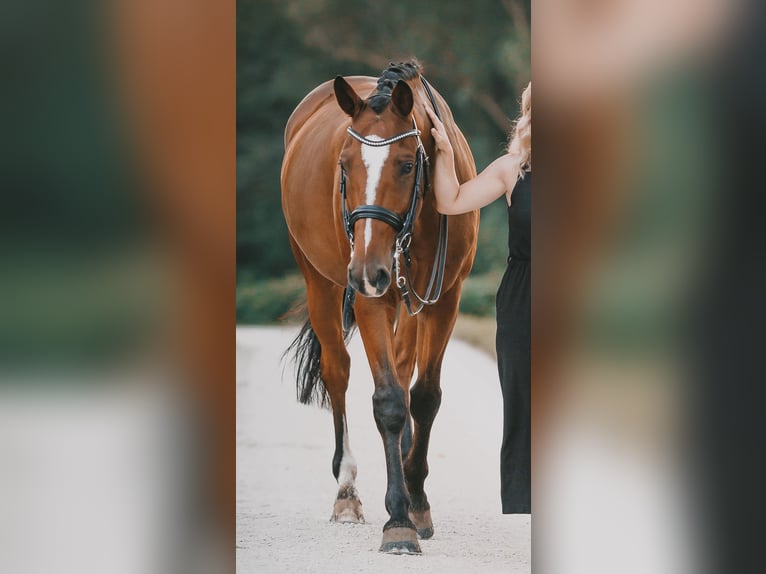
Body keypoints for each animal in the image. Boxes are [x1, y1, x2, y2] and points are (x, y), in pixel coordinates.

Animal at [280, 60, 476, 556]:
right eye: (344, 166)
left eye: (406, 165)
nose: (367, 269)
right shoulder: (372, 298)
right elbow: (388, 400)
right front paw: (399, 521)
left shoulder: (446, 298)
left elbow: (423, 397)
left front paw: (416, 502)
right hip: (322, 283)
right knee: (338, 371)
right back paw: (346, 494)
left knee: (405, 373)